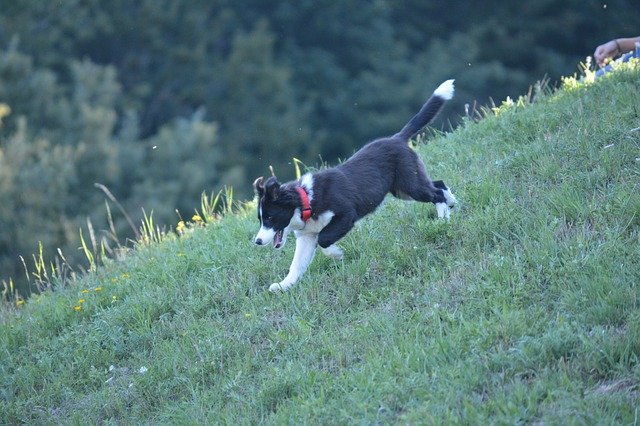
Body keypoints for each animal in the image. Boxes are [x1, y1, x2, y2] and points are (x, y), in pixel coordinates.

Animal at [252, 79, 458, 292]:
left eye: (270, 217)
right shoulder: (306, 235)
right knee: (438, 184)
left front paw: (337, 254)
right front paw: (283, 286)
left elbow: (324, 238)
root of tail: (397, 138)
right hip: (402, 189)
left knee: (435, 193)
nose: (257, 241)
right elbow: (297, 264)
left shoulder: (345, 214)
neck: (306, 199)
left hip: (409, 184)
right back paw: (452, 203)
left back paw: (443, 219)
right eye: (260, 219)